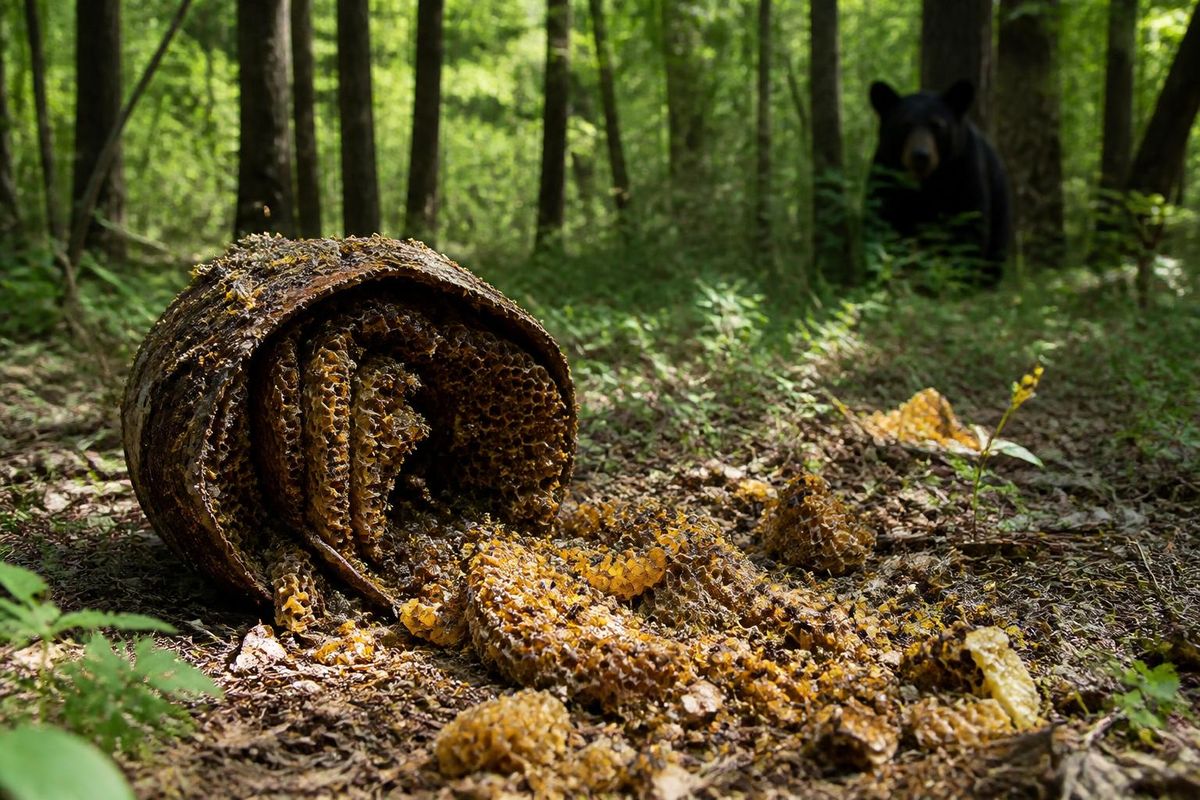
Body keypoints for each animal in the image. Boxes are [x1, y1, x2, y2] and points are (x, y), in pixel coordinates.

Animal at [866, 79, 1011, 287]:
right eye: (905, 124)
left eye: (937, 125)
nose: (920, 156)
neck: (927, 182)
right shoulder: (886, 174)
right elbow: (884, 221)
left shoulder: (965, 171)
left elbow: (969, 226)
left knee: (996, 251)